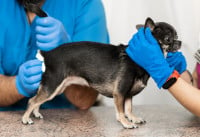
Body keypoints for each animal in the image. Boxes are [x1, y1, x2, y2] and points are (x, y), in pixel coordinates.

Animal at [21, 17, 181, 128]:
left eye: (177, 36)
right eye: (168, 39)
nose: (179, 42)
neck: (138, 59)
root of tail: (48, 54)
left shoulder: (128, 94)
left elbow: (129, 108)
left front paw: (133, 118)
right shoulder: (120, 93)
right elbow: (121, 111)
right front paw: (126, 123)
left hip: (56, 88)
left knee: (37, 99)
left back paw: (36, 113)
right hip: (53, 86)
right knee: (32, 100)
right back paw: (25, 119)